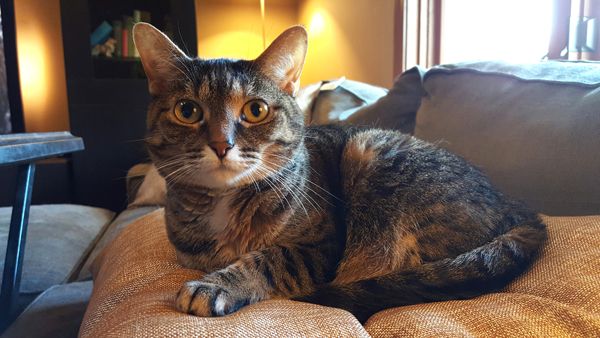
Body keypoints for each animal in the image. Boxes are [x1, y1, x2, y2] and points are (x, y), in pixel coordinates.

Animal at [134, 22, 548, 324]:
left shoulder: (319, 248)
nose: (222, 144)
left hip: (371, 155)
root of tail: (517, 207)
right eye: (187, 111)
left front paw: (218, 286)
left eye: (255, 110)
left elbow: (268, 259)